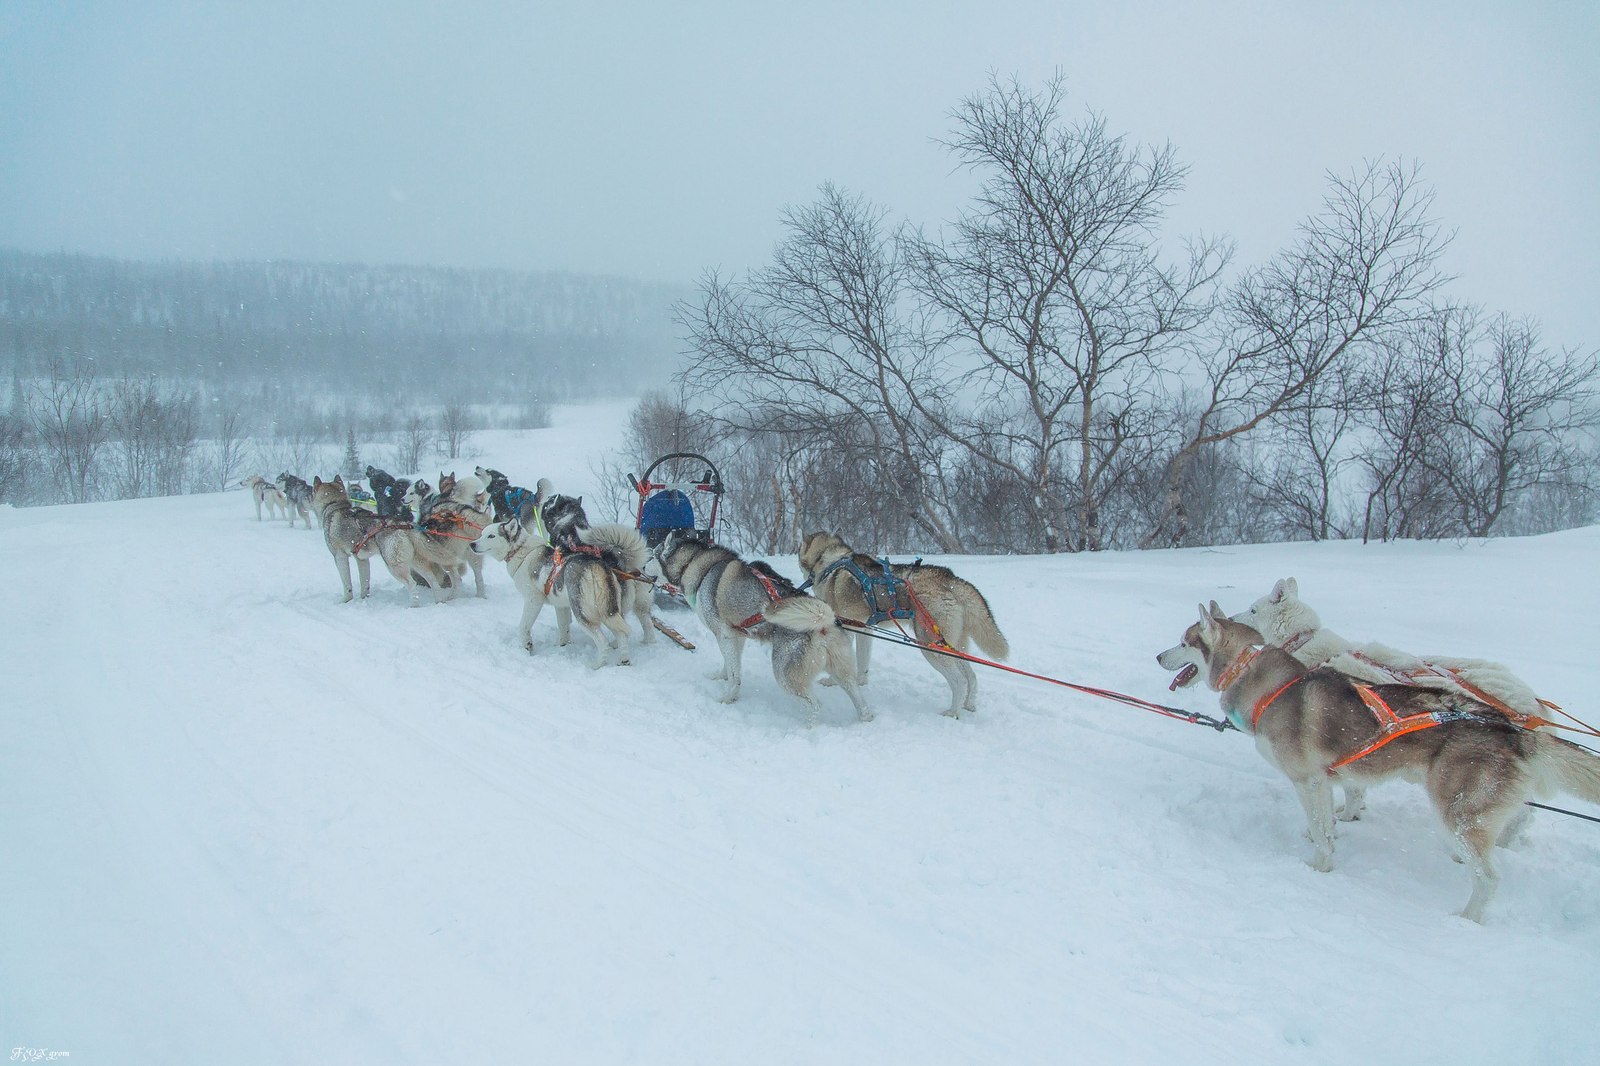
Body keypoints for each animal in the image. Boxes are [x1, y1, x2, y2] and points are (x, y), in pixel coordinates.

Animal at [467, 515, 630, 665]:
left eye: (491, 536)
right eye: (482, 533)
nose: (472, 544)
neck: (520, 551)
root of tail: (596, 565)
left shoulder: (533, 601)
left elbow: (523, 627)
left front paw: (527, 645)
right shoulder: (561, 606)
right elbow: (563, 628)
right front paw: (562, 646)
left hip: (583, 613)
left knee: (603, 642)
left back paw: (597, 665)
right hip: (609, 611)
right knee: (622, 634)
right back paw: (623, 660)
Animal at [652, 528, 876, 726]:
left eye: (652, 553)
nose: (644, 564)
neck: (695, 565)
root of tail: (824, 622)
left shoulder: (724, 635)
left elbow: (735, 675)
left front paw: (728, 697)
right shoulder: (736, 636)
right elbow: (729, 665)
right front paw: (721, 676)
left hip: (785, 674)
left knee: (814, 706)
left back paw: (806, 730)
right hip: (842, 671)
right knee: (857, 697)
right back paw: (864, 717)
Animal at [800, 528, 1011, 717]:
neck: (829, 564)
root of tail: (950, 579)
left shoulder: (851, 628)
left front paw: (832, 681)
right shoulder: (865, 630)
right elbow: (863, 662)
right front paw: (861, 681)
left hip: (931, 647)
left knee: (960, 680)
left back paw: (952, 712)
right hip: (954, 645)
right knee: (971, 676)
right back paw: (969, 704)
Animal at [1164, 601, 1600, 915]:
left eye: (1184, 640)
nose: (1157, 656)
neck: (1259, 679)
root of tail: (1514, 730)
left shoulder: (1308, 780)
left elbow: (1322, 833)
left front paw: (1319, 868)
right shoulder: (1328, 779)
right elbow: (1329, 818)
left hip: (1457, 812)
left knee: (1490, 877)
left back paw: (1467, 918)